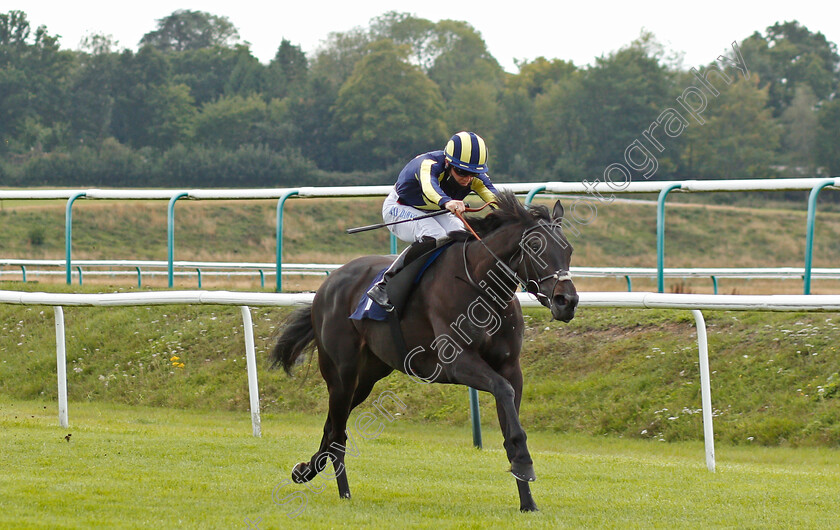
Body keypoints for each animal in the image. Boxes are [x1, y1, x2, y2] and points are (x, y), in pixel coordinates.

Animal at [270, 190, 576, 508]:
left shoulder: (510, 366)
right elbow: (502, 391)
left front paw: (527, 499)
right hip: (342, 374)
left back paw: (305, 471)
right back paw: (344, 493)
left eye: (569, 250)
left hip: (366, 377)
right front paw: (525, 464)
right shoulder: (457, 363)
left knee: (331, 428)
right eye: (535, 247)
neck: (481, 285)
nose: (567, 301)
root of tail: (327, 283)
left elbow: (509, 414)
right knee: (337, 433)